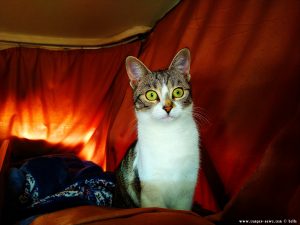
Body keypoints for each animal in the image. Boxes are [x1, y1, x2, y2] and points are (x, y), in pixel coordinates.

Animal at [113, 48, 200, 210]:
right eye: (151, 94)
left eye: (178, 92)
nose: (168, 107)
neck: (169, 133)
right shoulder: (151, 190)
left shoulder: (187, 187)